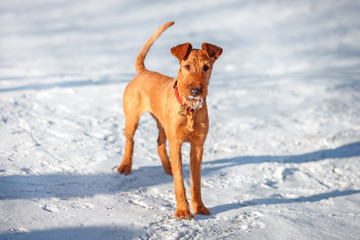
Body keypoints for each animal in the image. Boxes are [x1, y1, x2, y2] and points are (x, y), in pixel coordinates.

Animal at [118, 21, 222, 218]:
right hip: (132, 118)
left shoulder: (197, 146)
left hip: (162, 123)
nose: (195, 91)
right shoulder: (176, 143)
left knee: (159, 143)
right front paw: (183, 210)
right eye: (186, 66)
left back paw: (168, 169)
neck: (189, 110)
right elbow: (180, 182)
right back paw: (125, 166)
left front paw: (200, 207)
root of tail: (142, 71)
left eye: (206, 67)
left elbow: (196, 182)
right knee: (130, 141)